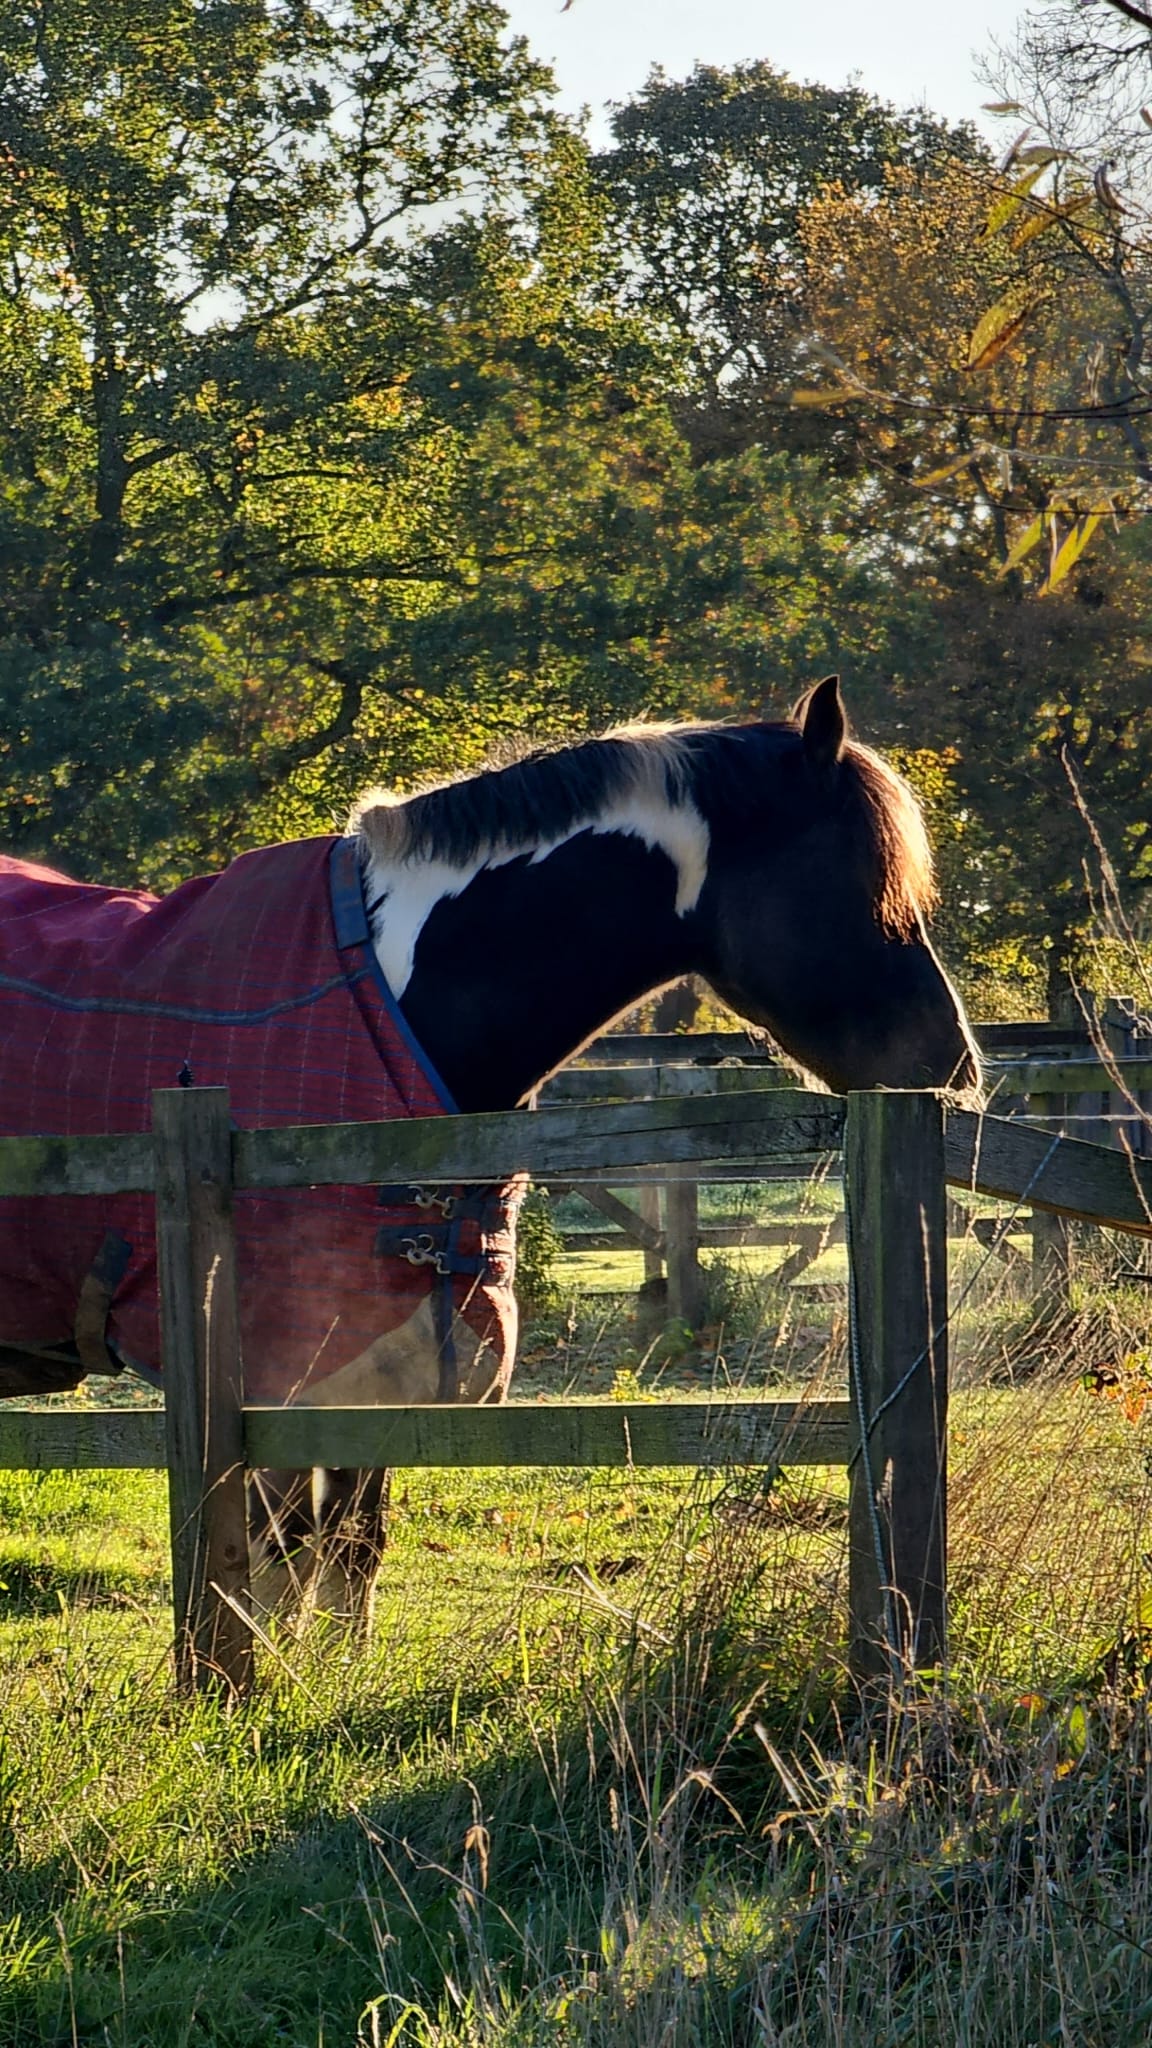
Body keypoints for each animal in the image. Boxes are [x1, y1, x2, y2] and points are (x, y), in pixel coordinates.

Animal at [0, 677, 980, 1627]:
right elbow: (281, 1572)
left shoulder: (385, 1374)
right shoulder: (279, 1381)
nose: (952, 1067)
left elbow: (350, 1561)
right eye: (863, 882)